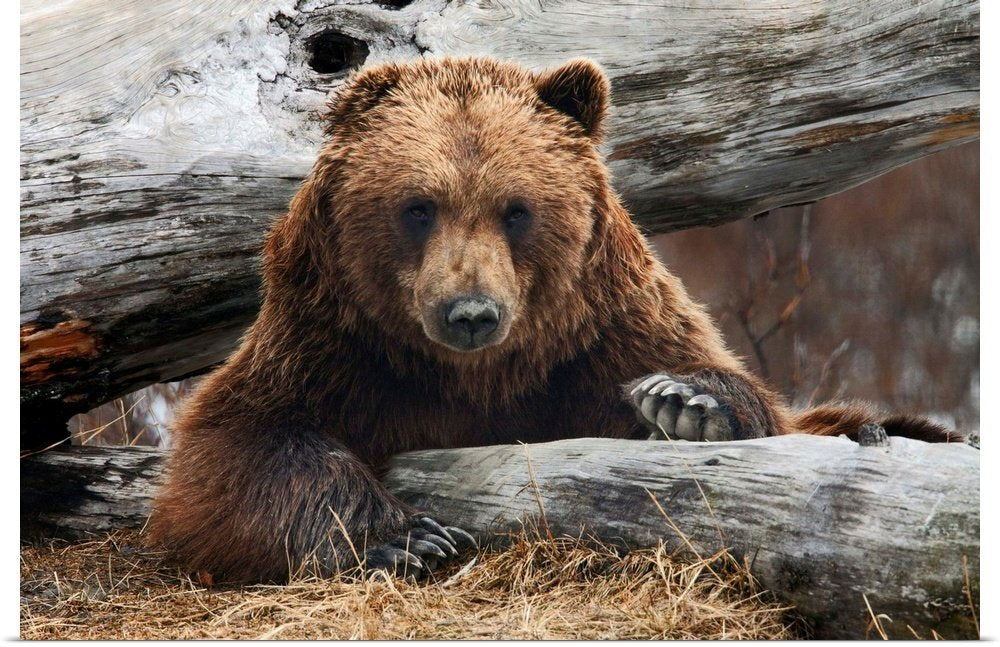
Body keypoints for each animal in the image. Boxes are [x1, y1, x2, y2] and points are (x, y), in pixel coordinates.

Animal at [148, 56, 959, 583]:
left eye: (517, 209)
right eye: (418, 206)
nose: (471, 312)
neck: (474, 377)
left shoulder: (598, 337)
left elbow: (734, 393)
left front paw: (686, 402)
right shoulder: (335, 347)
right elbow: (235, 448)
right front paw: (405, 539)